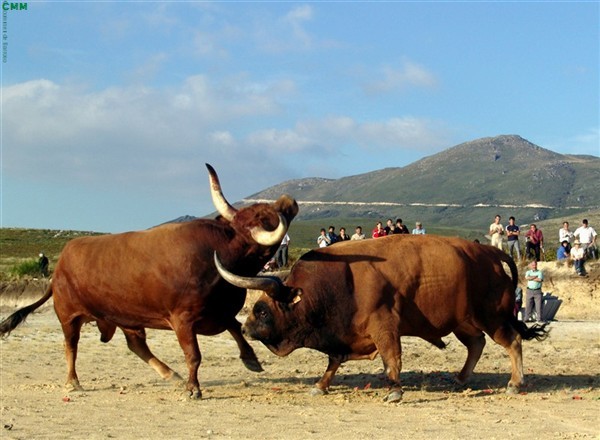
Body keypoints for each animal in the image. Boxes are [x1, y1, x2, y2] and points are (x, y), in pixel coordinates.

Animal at [0, 165, 298, 398]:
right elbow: (194, 354)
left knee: (136, 345)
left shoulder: (219, 313)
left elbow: (236, 328)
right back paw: (73, 382)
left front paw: (251, 360)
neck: (220, 255)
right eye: (263, 216)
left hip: (127, 317)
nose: (288, 201)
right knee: (71, 346)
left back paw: (170, 375)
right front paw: (193, 388)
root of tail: (59, 266)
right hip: (69, 315)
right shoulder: (183, 319)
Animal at [216, 234, 548, 402]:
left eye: (262, 310)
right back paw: (461, 378)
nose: (246, 328)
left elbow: (392, 358)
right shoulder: (346, 336)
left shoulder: (384, 326)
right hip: (463, 322)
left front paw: (395, 391)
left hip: (491, 317)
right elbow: (334, 362)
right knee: (476, 344)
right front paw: (321, 385)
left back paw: (515, 383)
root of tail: (491, 253)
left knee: (512, 341)